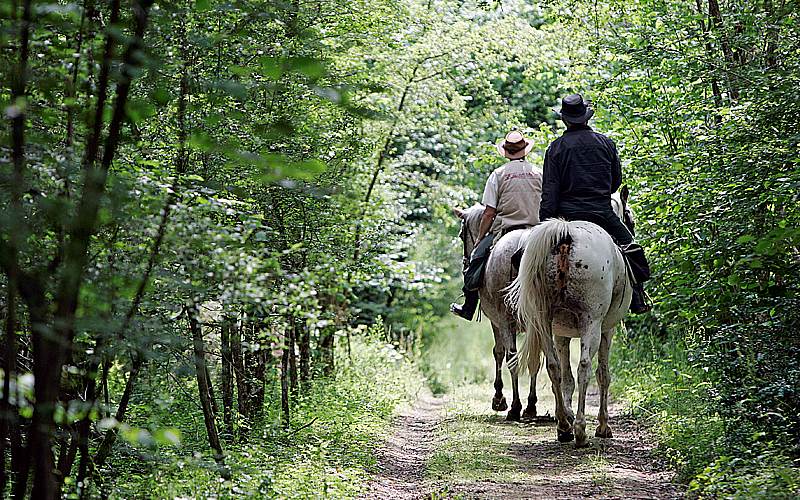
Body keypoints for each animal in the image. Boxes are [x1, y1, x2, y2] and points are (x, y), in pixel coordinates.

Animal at [454, 204, 543, 421]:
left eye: (461, 235)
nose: (465, 262)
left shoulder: (496, 321)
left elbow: (498, 352)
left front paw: (499, 398)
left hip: (505, 320)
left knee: (512, 358)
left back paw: (515, 407)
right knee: (535, 360)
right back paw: (530, 406)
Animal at [506, 189, 634, 447]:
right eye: (630, 219)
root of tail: (565, 233)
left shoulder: (561, 333)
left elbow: (565, 377)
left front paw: (565, 414)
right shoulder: (607, 330)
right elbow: (603, 375)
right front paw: (603, 426)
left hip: (544, 322)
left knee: (553, 366)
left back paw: (564, 427)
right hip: (591, 323)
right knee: (584, 366)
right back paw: (581, 431)